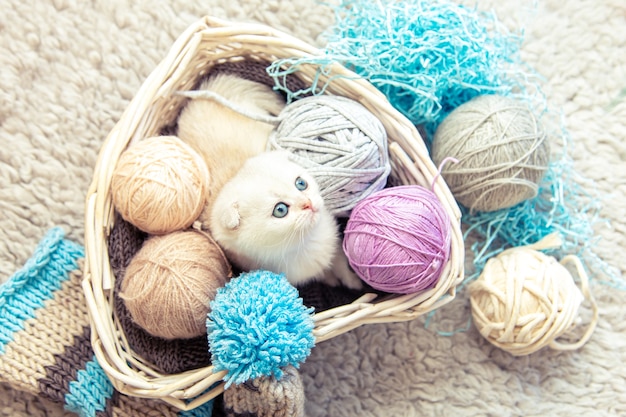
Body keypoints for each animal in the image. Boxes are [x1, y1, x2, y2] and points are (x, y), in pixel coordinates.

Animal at [208, 150, 360, 290]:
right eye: (280, 210)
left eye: (301, 183)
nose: (308, 203)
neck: (307, 242)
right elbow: (322, 273)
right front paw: (330, 279)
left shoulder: (333, 240)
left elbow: (340, 262)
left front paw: (353, 280)